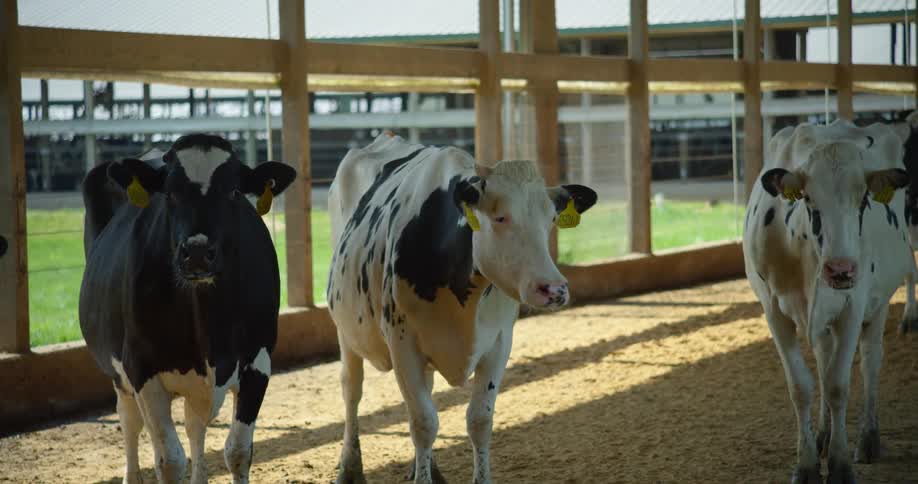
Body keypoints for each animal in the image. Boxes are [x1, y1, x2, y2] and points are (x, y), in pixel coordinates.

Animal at [79, 134, 296, 484]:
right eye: (169, 193)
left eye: (234, 192)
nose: (196, 252)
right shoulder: (141, 367)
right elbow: (170, 461)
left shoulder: (258, 361)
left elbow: (238, 451)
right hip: (119, 373)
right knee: (130, 422)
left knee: (195, 426)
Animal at [326, 133, 597, 484]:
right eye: (500, 217)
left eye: (551, 219)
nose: (554, 289)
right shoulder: (402, 343)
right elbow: (424, 423)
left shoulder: (499, 342)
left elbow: (479, 420)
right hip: (346, 330)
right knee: (352, 389)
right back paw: (350, 468)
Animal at [743, 119, 913, 483]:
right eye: (808, 198)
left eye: (863, 200)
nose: (841, 269)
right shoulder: (774, 312)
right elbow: (802, 386)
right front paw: (807, 464)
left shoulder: (853, 307)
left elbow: (837, 384)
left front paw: (840, 465)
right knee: (823, 360)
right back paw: (822, 434)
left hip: (877, 304)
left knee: (870, 362)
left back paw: (868, 438)